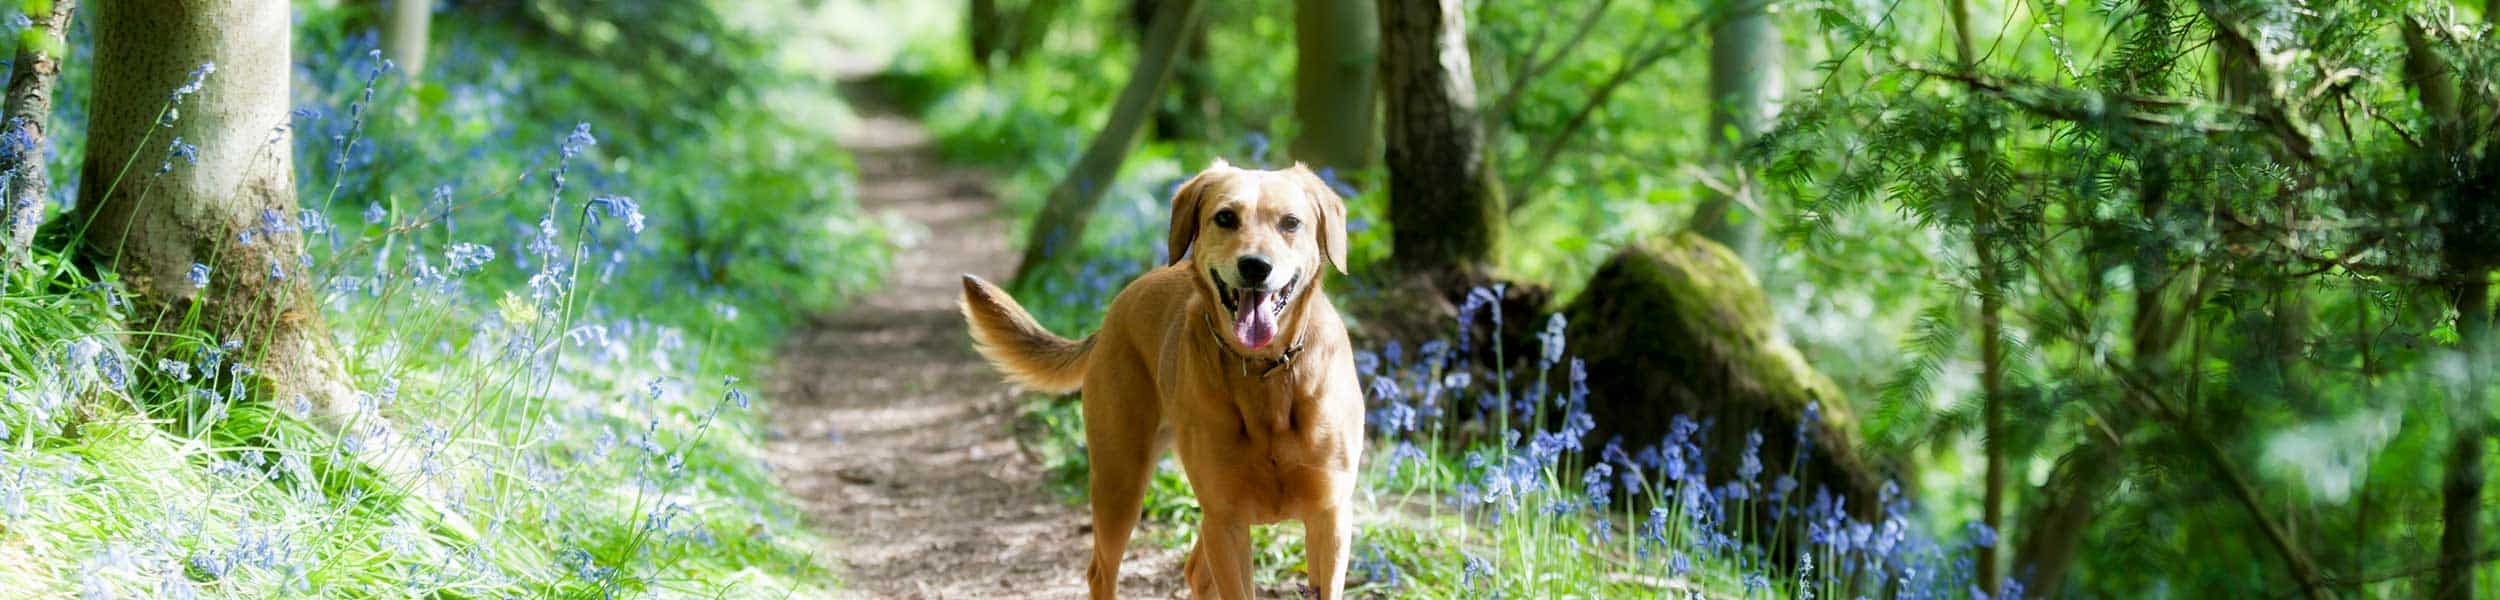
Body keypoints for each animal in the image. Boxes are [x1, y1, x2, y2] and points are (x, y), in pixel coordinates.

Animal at [965, 160, 1370, 600]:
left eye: (1290, 222)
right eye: (1225, 217)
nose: (1255, 266)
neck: (1266, 373)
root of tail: (1112, 313)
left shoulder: (1328, 518)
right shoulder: (1226, 520)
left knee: (1196, 572)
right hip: (1120, 482)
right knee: (1101, 571)